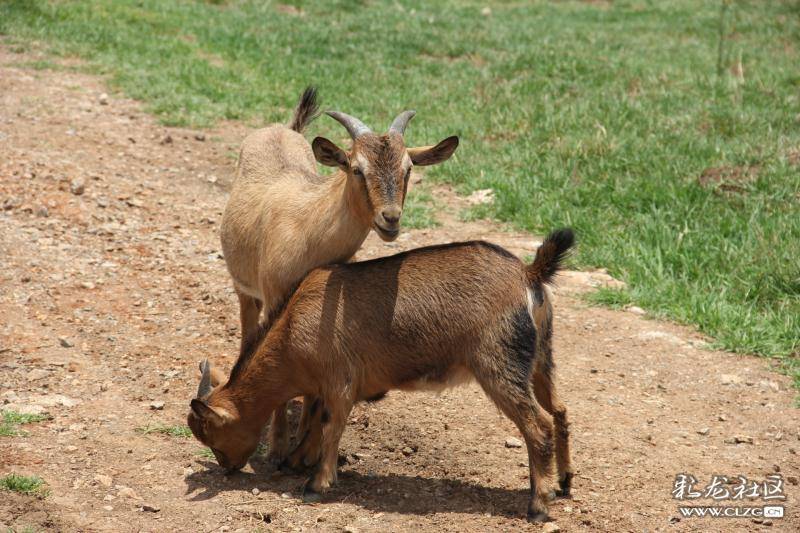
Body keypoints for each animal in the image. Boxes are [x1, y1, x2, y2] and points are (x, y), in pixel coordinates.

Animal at [188, 228, 576, 520]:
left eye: (213, 436)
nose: (227, 467)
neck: (292, 328)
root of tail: (529, 274)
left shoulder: (340, 382)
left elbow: (330, 427)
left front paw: (316, 484)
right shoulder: (325, 387)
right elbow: (314, 422)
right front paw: (297, 461)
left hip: (499, 362)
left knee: (538, 425)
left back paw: (538, 505)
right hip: (540, 357)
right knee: (559, 410)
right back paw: (564, 482)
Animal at [222, 88, 460, 462]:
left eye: (408, 168)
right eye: (357, 169)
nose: (390, 218)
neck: (307, 230)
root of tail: (283, 128)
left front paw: (304, 449)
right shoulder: (275, 300)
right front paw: (277, 450)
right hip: (245, 289)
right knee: (248, 333)